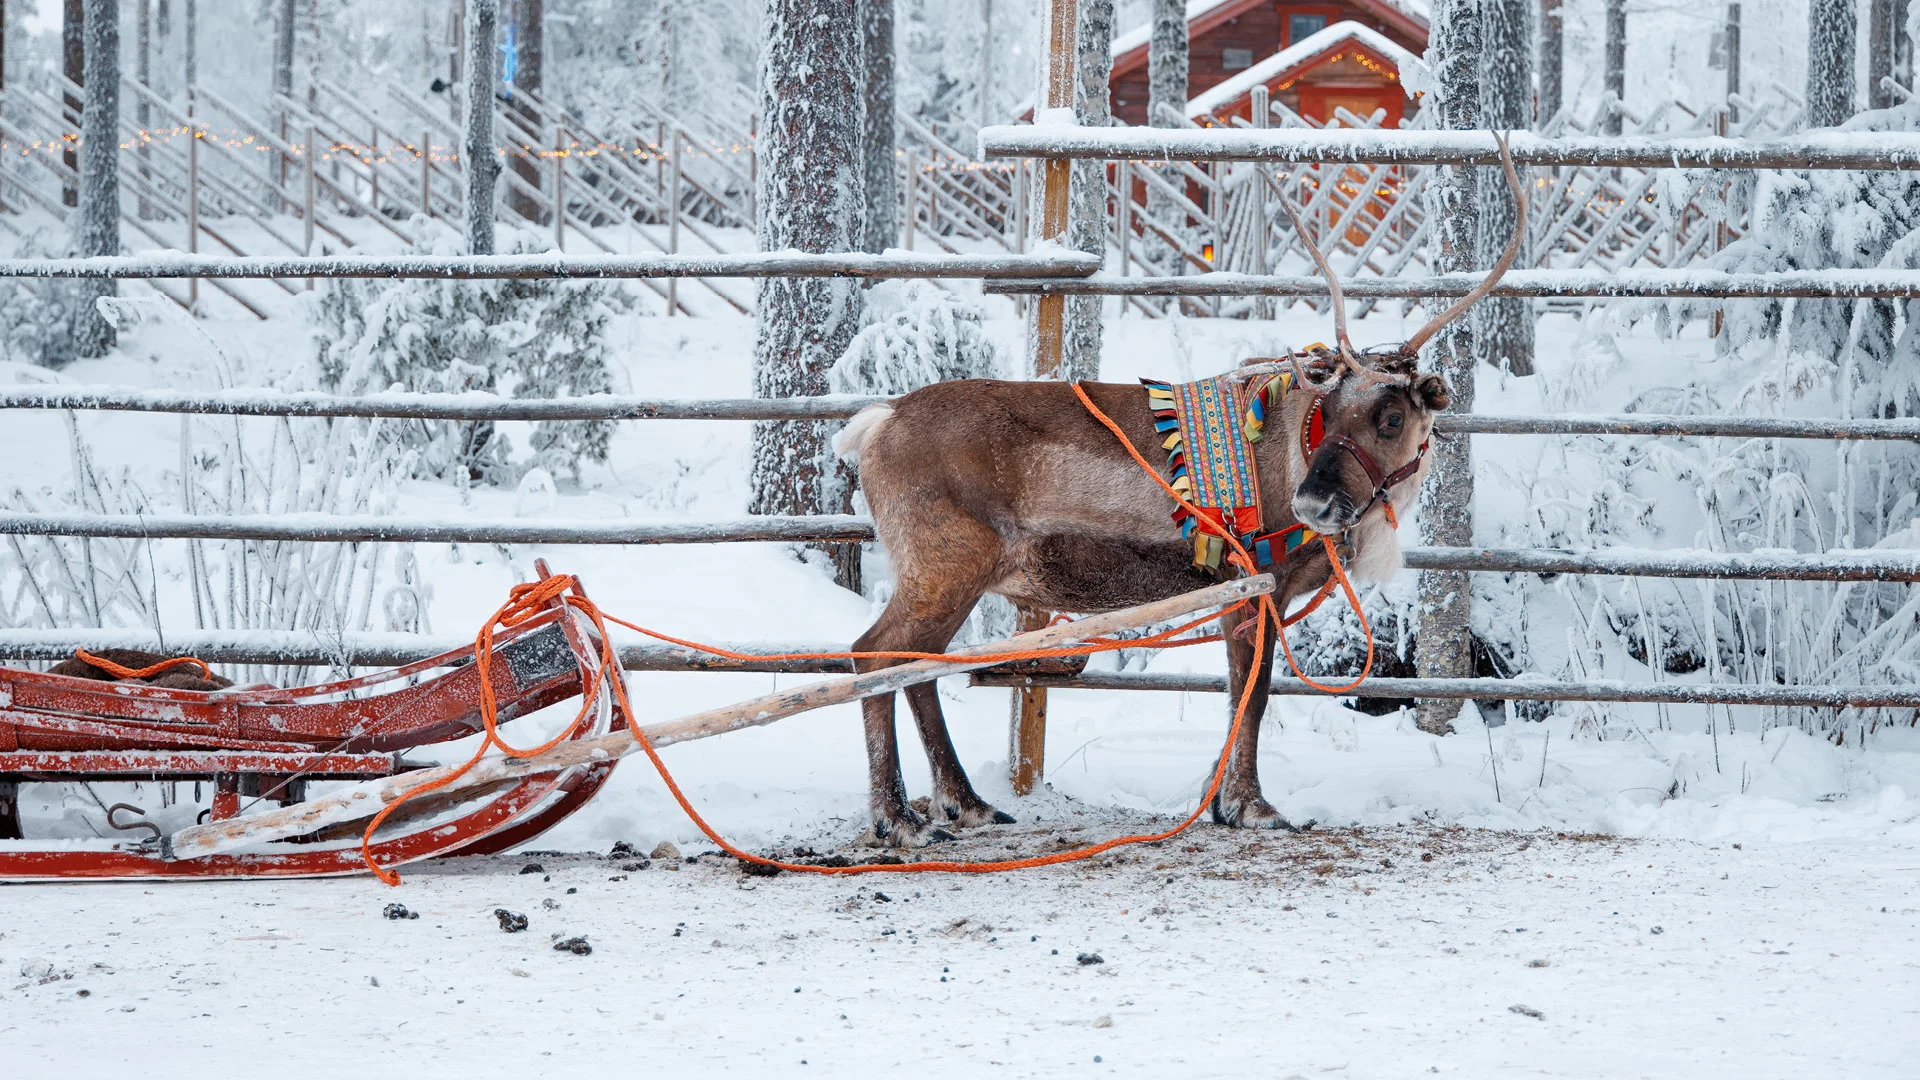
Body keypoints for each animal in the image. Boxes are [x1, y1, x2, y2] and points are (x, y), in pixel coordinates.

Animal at [835, 136, 1529, 847]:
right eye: (1331, 409)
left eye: (1390, 417)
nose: (1312, 503)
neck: (1298, 442)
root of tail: (876, 422)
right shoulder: (1257, 583)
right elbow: (1253, 693)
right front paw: (1252, 806)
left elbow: (1239, 691)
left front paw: (1216, 798)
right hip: (943, 566)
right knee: (873, 655)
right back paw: (899, 818)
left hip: (951, 575)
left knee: (916, 666)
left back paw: (966, 803)